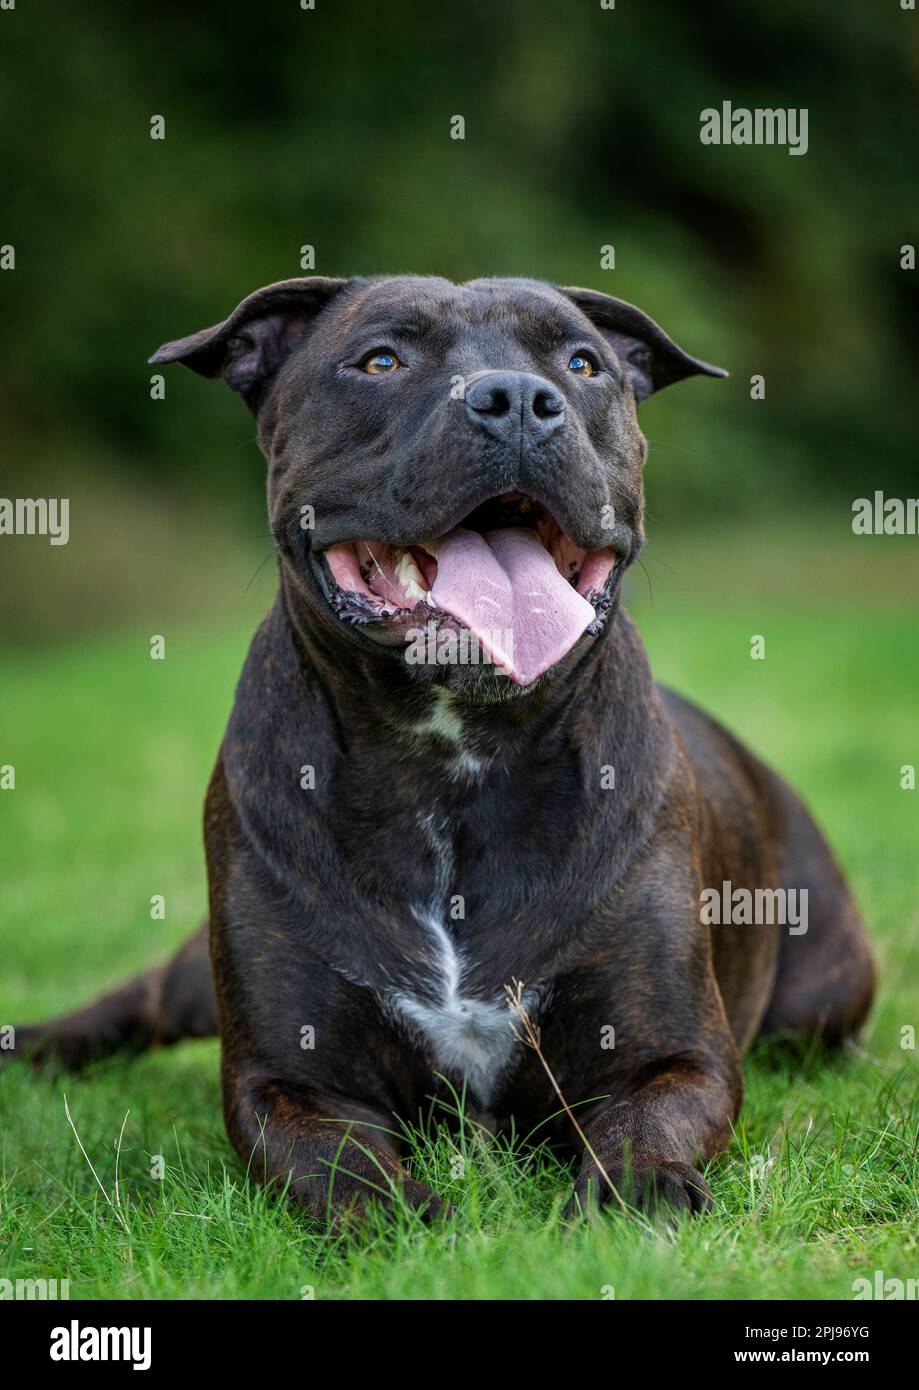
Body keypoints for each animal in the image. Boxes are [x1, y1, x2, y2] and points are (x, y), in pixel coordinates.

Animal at [12, 279, 873, 1217]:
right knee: (142, 1000)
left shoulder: (675, 1057)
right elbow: (341, 1170)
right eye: (381, 360)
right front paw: (408, 1216)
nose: (519, 400)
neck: (452, 755)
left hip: (824, 997)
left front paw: (637, 1196)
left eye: (582, 364)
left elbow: (644, 1126)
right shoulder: (284, 1080)